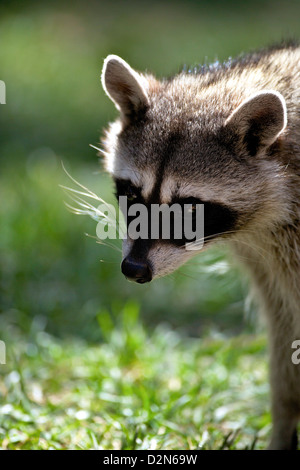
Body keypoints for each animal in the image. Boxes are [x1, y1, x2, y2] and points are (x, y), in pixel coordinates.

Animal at [99, 45, 300, 452]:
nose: (134, 269)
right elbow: (284, 333)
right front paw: (284, 419)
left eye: (189, 208)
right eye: (132, 195)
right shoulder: (269, 260)